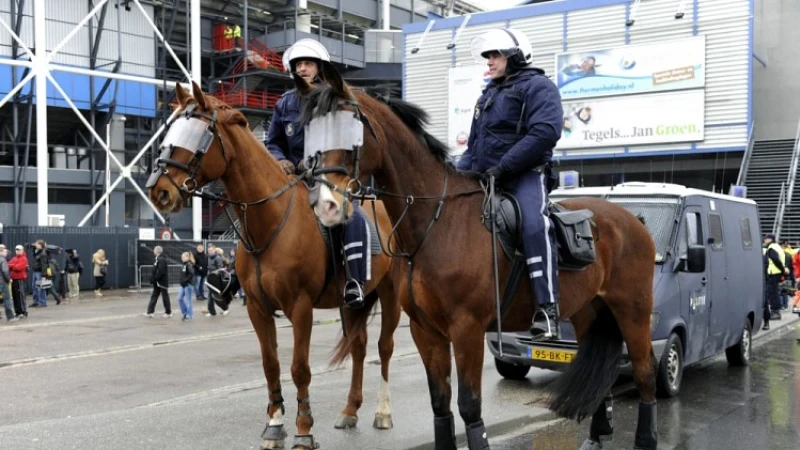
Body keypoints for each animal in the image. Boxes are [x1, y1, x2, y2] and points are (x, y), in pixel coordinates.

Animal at [147, 82, 404, 448]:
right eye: (170, 129)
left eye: (200, 132)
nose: (159, 190)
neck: (271, 219)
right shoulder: (258, 307)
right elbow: (271, 365)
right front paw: (274, 424)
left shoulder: (300, 307)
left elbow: (299, 368)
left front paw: (304, 429)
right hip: (352, 302)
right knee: (358, 348)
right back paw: (350, 410)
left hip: (391, 294)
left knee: (384, 348)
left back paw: (382, 412)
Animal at [296, 70, 660, 450]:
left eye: (346, 128)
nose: (325, 205)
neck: (437, 221)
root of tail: (633, 220)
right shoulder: (426, 331)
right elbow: (440, 405)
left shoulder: (467, 329)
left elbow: (469, 406)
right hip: (589, 311)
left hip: (633, 310)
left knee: (645, 371)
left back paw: (645, 439)